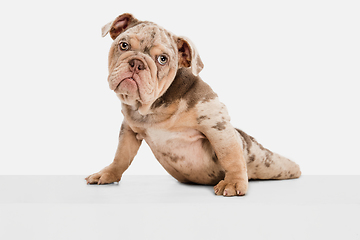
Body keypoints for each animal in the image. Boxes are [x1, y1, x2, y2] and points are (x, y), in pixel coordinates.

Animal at [86, 13, 300, 196]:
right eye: (123, 45)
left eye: (162, 59)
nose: (137, 63)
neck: (153, 106)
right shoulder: (129, 129)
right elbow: (122, 155)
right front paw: (108, 173)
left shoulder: (216, 124)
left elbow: (230, 155)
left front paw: (233, 182)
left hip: (265, 161)